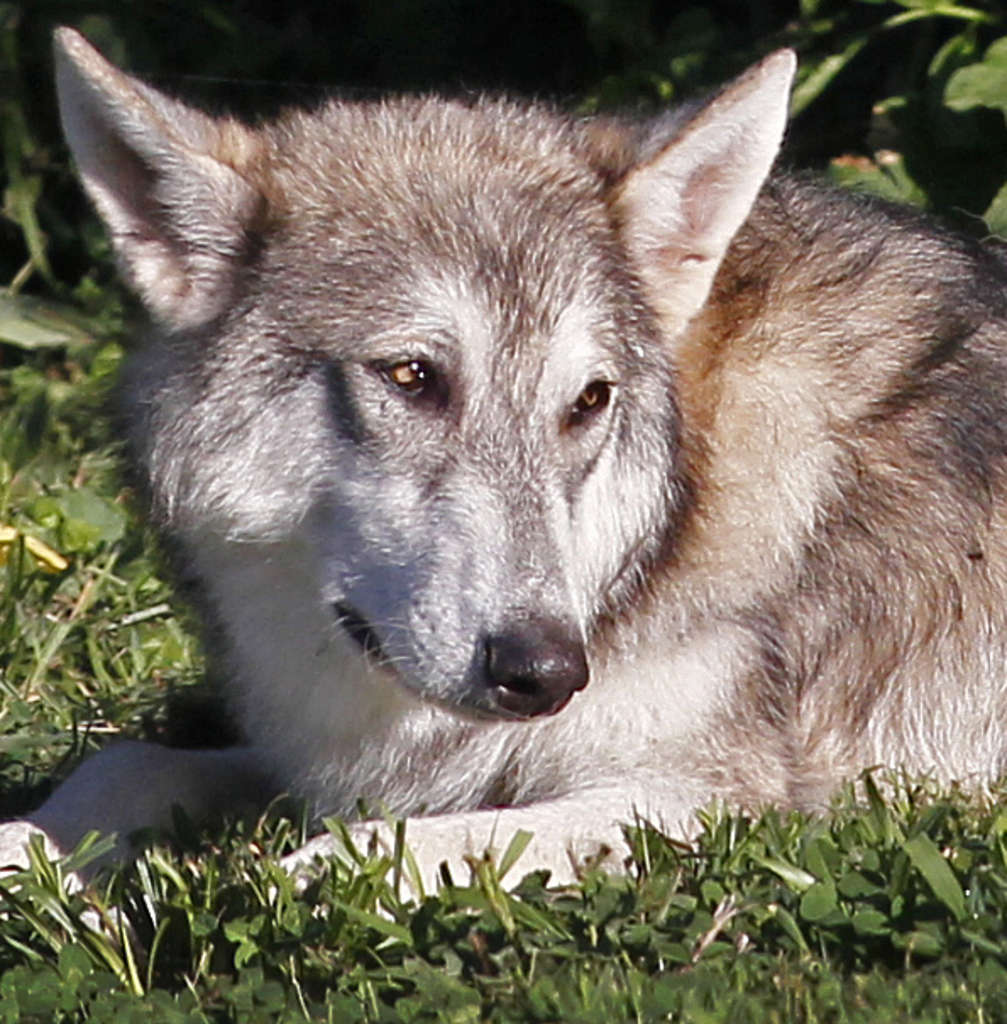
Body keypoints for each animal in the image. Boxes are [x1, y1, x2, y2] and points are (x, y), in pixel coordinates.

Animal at [1, 29, 1007, 888]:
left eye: (589, 401)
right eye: (411, 376)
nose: (546, 671)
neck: (672, 521)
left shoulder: (727, 800)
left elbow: (359, 856)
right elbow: (127, 762)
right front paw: (31, 851)